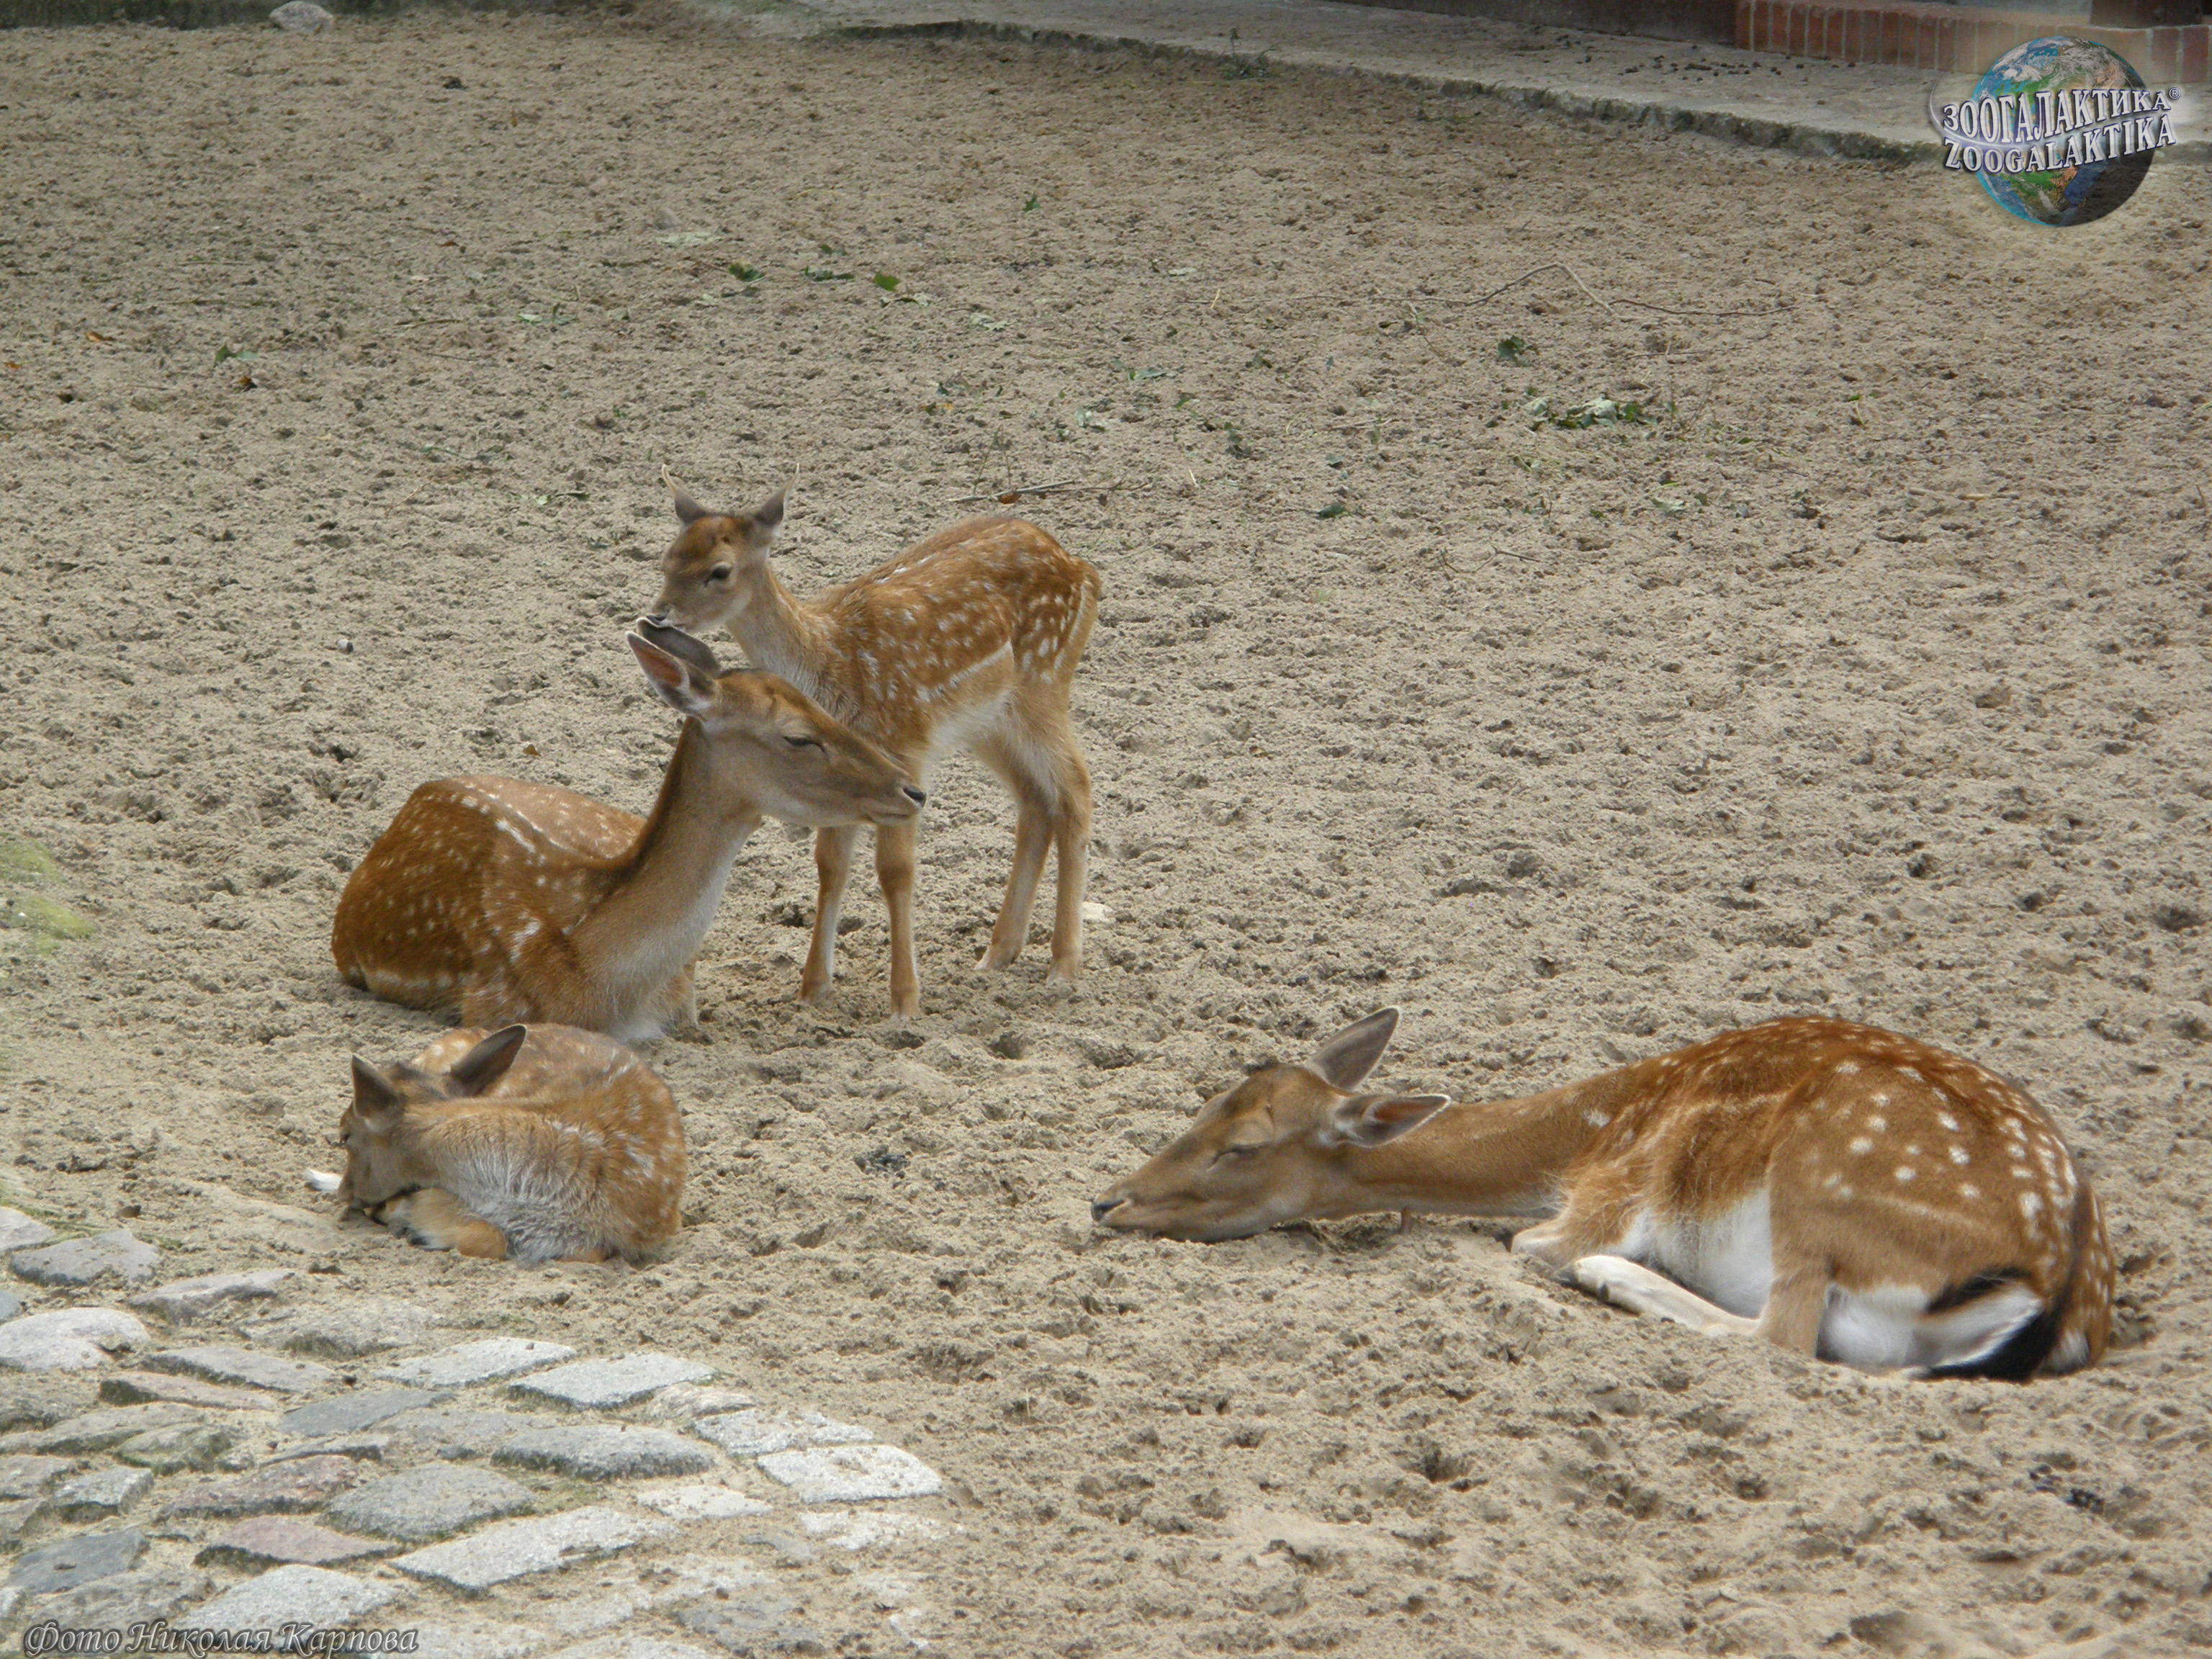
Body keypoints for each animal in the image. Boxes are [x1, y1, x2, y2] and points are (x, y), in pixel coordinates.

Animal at [330, 623, 926, 1043]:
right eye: (798, 737)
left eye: (823, 704)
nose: (912, 790)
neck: (615, 992)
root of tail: (422, 792)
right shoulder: (493, 1005)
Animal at [646, 473, 1100, 1019]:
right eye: (666, 558)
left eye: (720, 570)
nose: (656, 617)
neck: (831, 665)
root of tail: (1084, 571)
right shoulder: (843, 770)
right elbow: (830, 865)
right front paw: (812, 989)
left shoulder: (905, 744)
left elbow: (895, 871)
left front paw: (904, 1001)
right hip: (989, 719)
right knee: (1035, 799)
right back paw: (998, 954)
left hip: (1043, 682)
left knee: (1075, 787)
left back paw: (1064, 966)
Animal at [1092, 1011, 2113, 1381]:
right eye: (1205, 1102)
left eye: (1243, 1147)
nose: (1109, 1200)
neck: (1586, 1134)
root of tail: (2056, 1290)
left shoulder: (1616, 1188)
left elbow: (1531, 1245)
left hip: (1820, 1185)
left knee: (1782, 1338)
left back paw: (1613, 1278)